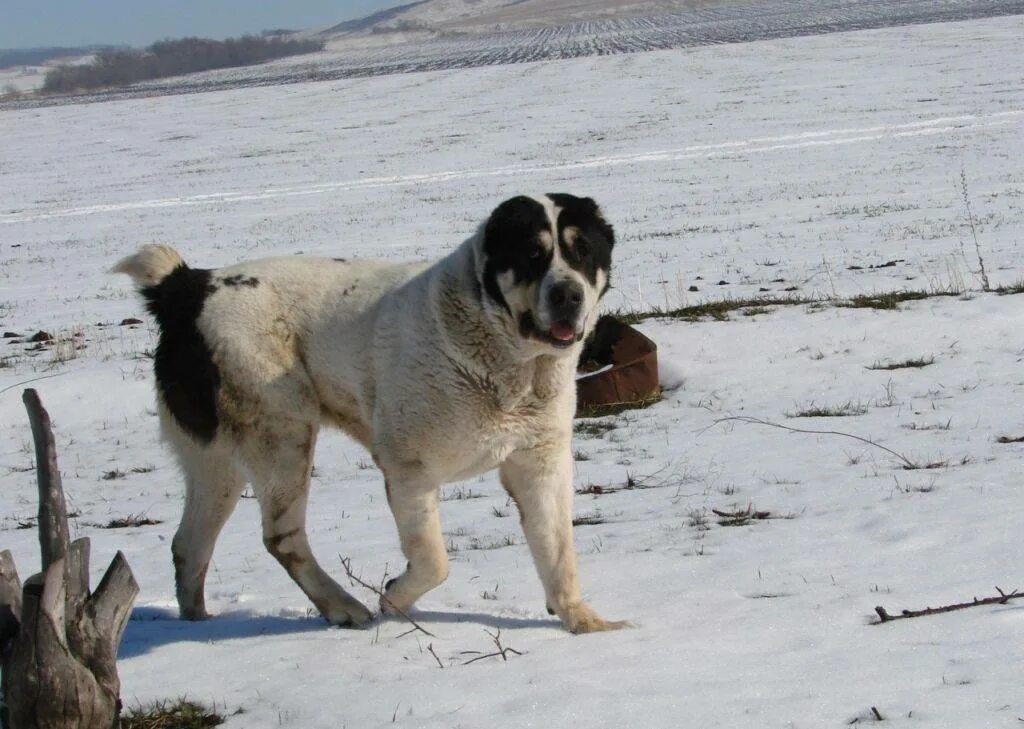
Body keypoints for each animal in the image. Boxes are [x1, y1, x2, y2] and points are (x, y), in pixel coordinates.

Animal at [112, 192, 622, 630]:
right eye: (532, 255)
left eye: (583, 252)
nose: (568, 294)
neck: (504, 354)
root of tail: (188, 286)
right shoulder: (408, 470)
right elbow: (433, 561)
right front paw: (392, 600)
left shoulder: (540, 463)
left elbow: (558, 552)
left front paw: (582, 622)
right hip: (282, 430)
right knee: (282, 536)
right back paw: (344, 608)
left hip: (216, 463)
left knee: (190, 544)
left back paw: (199, 625)